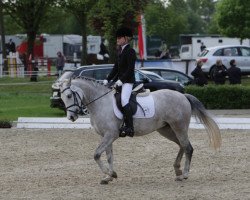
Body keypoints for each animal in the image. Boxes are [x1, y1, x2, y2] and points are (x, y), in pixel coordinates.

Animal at [60, 77, 221, 184]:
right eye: (62, 97)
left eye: (69, 95)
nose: (71, 117)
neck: (100, 103)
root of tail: (183, 95)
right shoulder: (106, 136)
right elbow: (109, 156)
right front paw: (110, 176)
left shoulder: (111, 135)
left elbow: (96, 154)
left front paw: (108, 173)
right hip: (166, 130)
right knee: (182, 145)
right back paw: (178, 170)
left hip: (178, 127)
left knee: (188, 147)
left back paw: (185, 174)